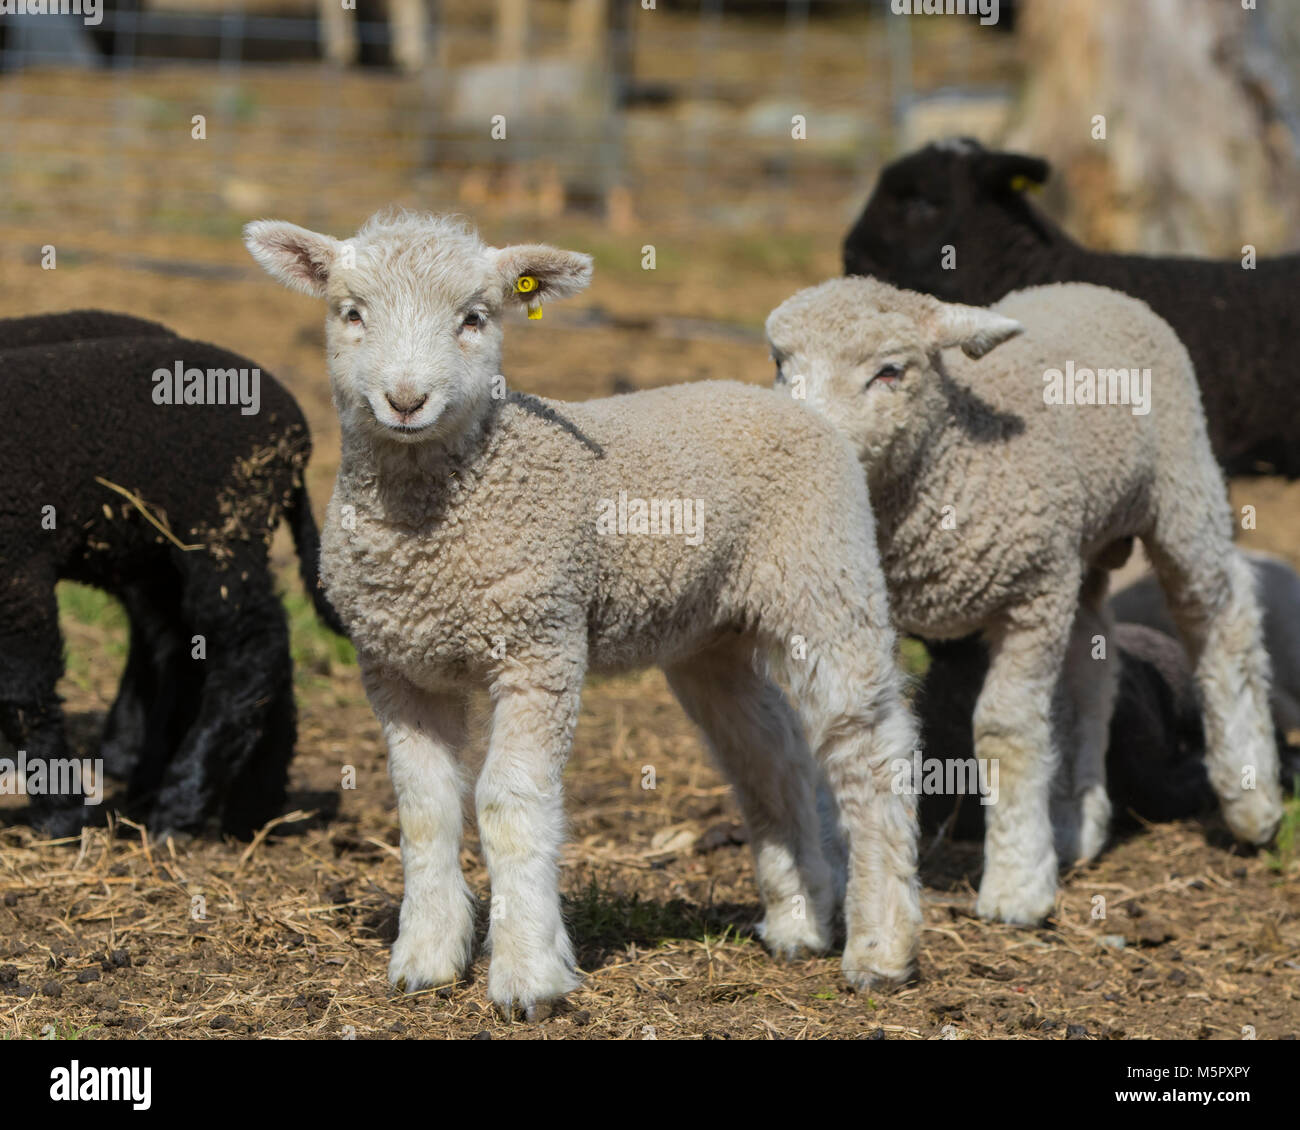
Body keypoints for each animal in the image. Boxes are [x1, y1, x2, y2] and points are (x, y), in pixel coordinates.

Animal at [0, 317, 343, 840]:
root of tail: (297, 435)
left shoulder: (18, 569)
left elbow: (25, 695)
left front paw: (61, 817)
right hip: (163, 552)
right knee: (213, 649)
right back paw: (250, 807)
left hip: (218, 532)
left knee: (249, 649)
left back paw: (179, 805)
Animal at [244, 209, 922, 1017]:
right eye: (351, 313)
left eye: (475, 319)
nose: (406, 401)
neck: (432, 532)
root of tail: (805, 409)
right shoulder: (396, 666)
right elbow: (425, 806)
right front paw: (426, 958)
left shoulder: (541, 641)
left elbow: (508, 802)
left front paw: (526, 975)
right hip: (710, 634)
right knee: (771, 753)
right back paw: (800, 921)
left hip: (825, 582)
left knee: (867, 750)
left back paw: (880, 949)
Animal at [765, 275, 1283, 926]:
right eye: (780, 364)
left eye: (889, 371)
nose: (805, 450)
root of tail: (1088, 287)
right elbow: (841, 728)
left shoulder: (1032, 594)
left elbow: (1006, 728)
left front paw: (1016, 883)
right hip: (1080, 551)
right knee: (1092, 670)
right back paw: (1076, 822)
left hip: (1181, 488)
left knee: (1221, 617)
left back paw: (1251, 799)